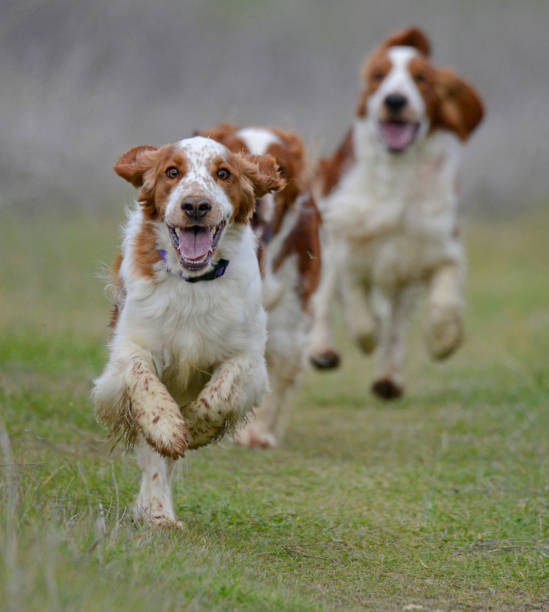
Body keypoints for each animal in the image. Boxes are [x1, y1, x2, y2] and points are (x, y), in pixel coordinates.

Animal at [91, 135, 282, 524]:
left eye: (223, 173)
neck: (193, 283)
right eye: (172, 172)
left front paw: (193, 429)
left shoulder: (249, 357)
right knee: (153, 459)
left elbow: (221, 394)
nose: (195, 205)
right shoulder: (130, 347)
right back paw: (158, 513)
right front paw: (169, 428)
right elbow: (143, 382)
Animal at [308, 27, 484, 402]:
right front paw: (364, 333)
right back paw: (322, 351)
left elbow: (443, 303)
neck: (397, 172)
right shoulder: (347, 239)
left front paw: (443, 341)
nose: (395, 101)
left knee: (396, 324)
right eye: (378, 76)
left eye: (422, 78)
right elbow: (356, 304)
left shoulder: (438, 246)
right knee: (325, 298)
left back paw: (388, 378)